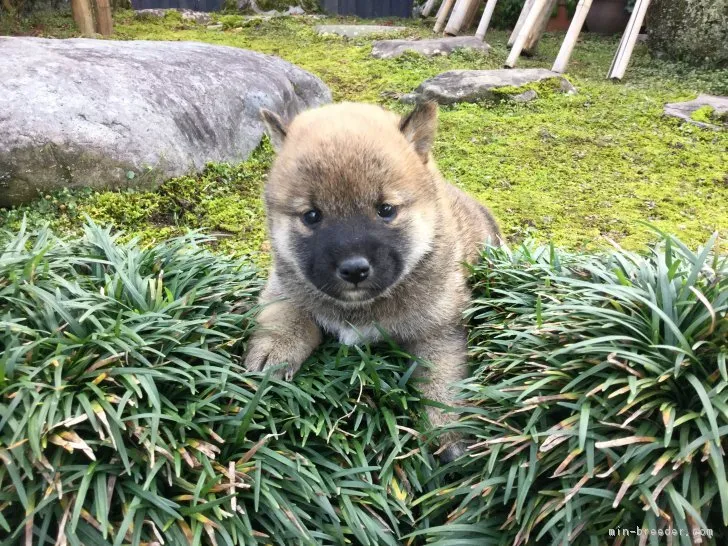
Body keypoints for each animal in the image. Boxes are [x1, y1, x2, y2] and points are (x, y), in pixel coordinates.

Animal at [245, 101, 500, 454]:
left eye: (386, 210)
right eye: (312, 215)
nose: (354, 269)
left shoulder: (440, 330)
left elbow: (442, 380)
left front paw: (448, 431)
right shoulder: (284, 283)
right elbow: (285, 314)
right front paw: (275, 350)